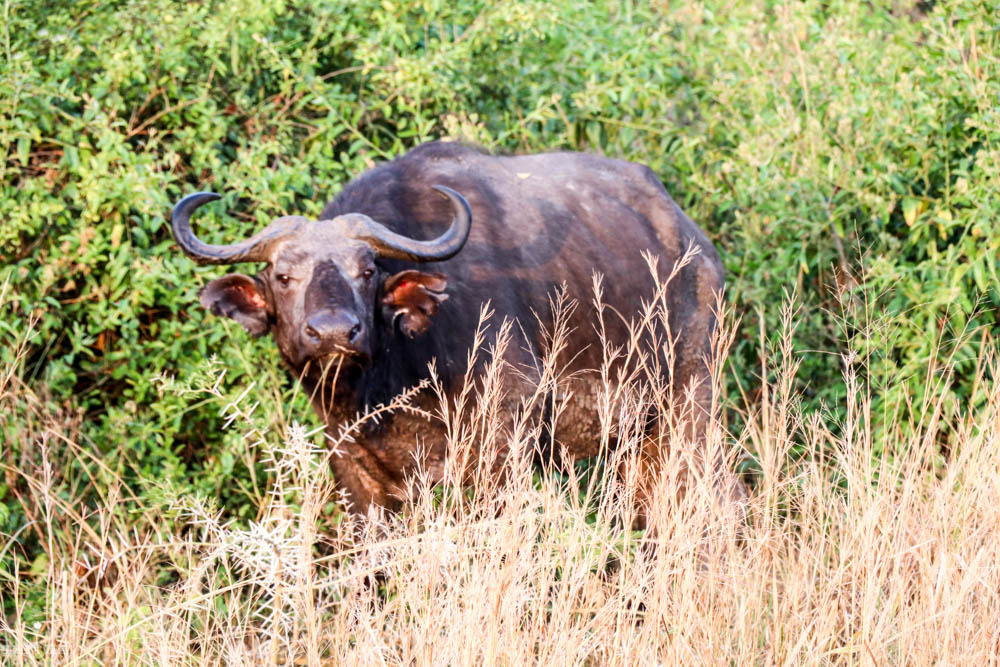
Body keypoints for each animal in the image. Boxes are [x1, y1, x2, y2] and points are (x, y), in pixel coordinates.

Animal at [168, 142, 740, 520]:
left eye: (367, 270)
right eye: (283, 276)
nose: (333, 332)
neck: (393, 384)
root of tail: (693, 242)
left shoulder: (503, 445)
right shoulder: (352, 465)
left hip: (691, 405)